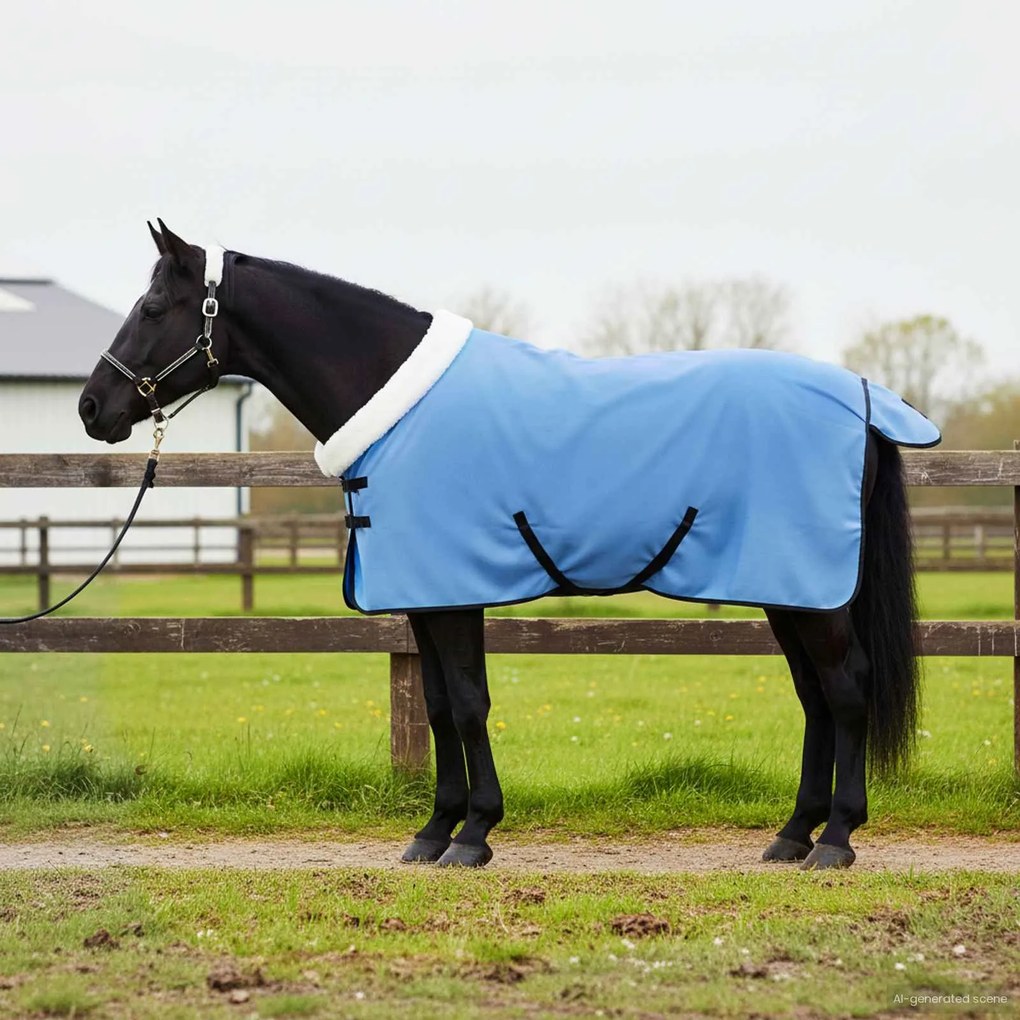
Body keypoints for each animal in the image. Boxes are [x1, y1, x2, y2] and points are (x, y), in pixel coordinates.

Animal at [79, 220, 939, 871]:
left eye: (153, 306)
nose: (92, 406)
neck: (395, 404)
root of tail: (864, 400)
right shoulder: (423, 598)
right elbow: (435, 707)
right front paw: (434, 832)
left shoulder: (453, 593)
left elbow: (466, 705)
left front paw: (474, 835)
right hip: (788, 589)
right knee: (816, 698)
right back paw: (792, 835)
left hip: (813, 594)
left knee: (847, 690)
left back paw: (835, 839)